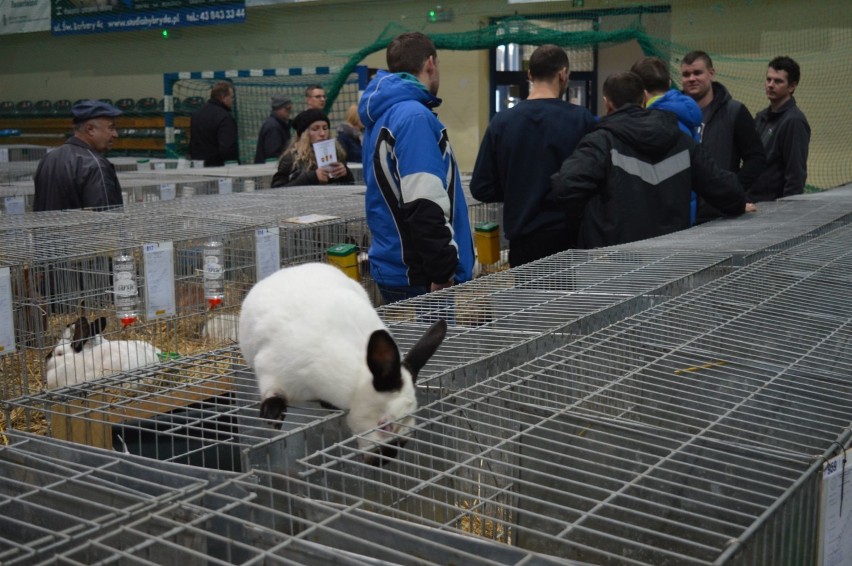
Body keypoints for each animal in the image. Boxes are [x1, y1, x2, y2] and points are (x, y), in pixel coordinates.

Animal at [236, 264, 442, 468]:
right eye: (384, 425)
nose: (383, 460)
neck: (356, 381)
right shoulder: (271, 367)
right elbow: (272, 391)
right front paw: (273, 416)